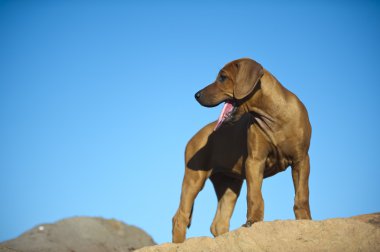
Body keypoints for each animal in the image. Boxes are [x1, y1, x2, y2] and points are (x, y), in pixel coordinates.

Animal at [172, 58, 312, 243]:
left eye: (223, 77)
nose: (196, 95)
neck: (273, 118)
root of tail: (194, 137)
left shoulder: (301, 159)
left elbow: (302, 195)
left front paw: (305, 220)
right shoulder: (255, 160)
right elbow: (254, 195)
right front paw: (254, 221)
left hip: (229, 183)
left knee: (218, 223)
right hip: (194, 178)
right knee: (180, 216)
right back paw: (178, 244)